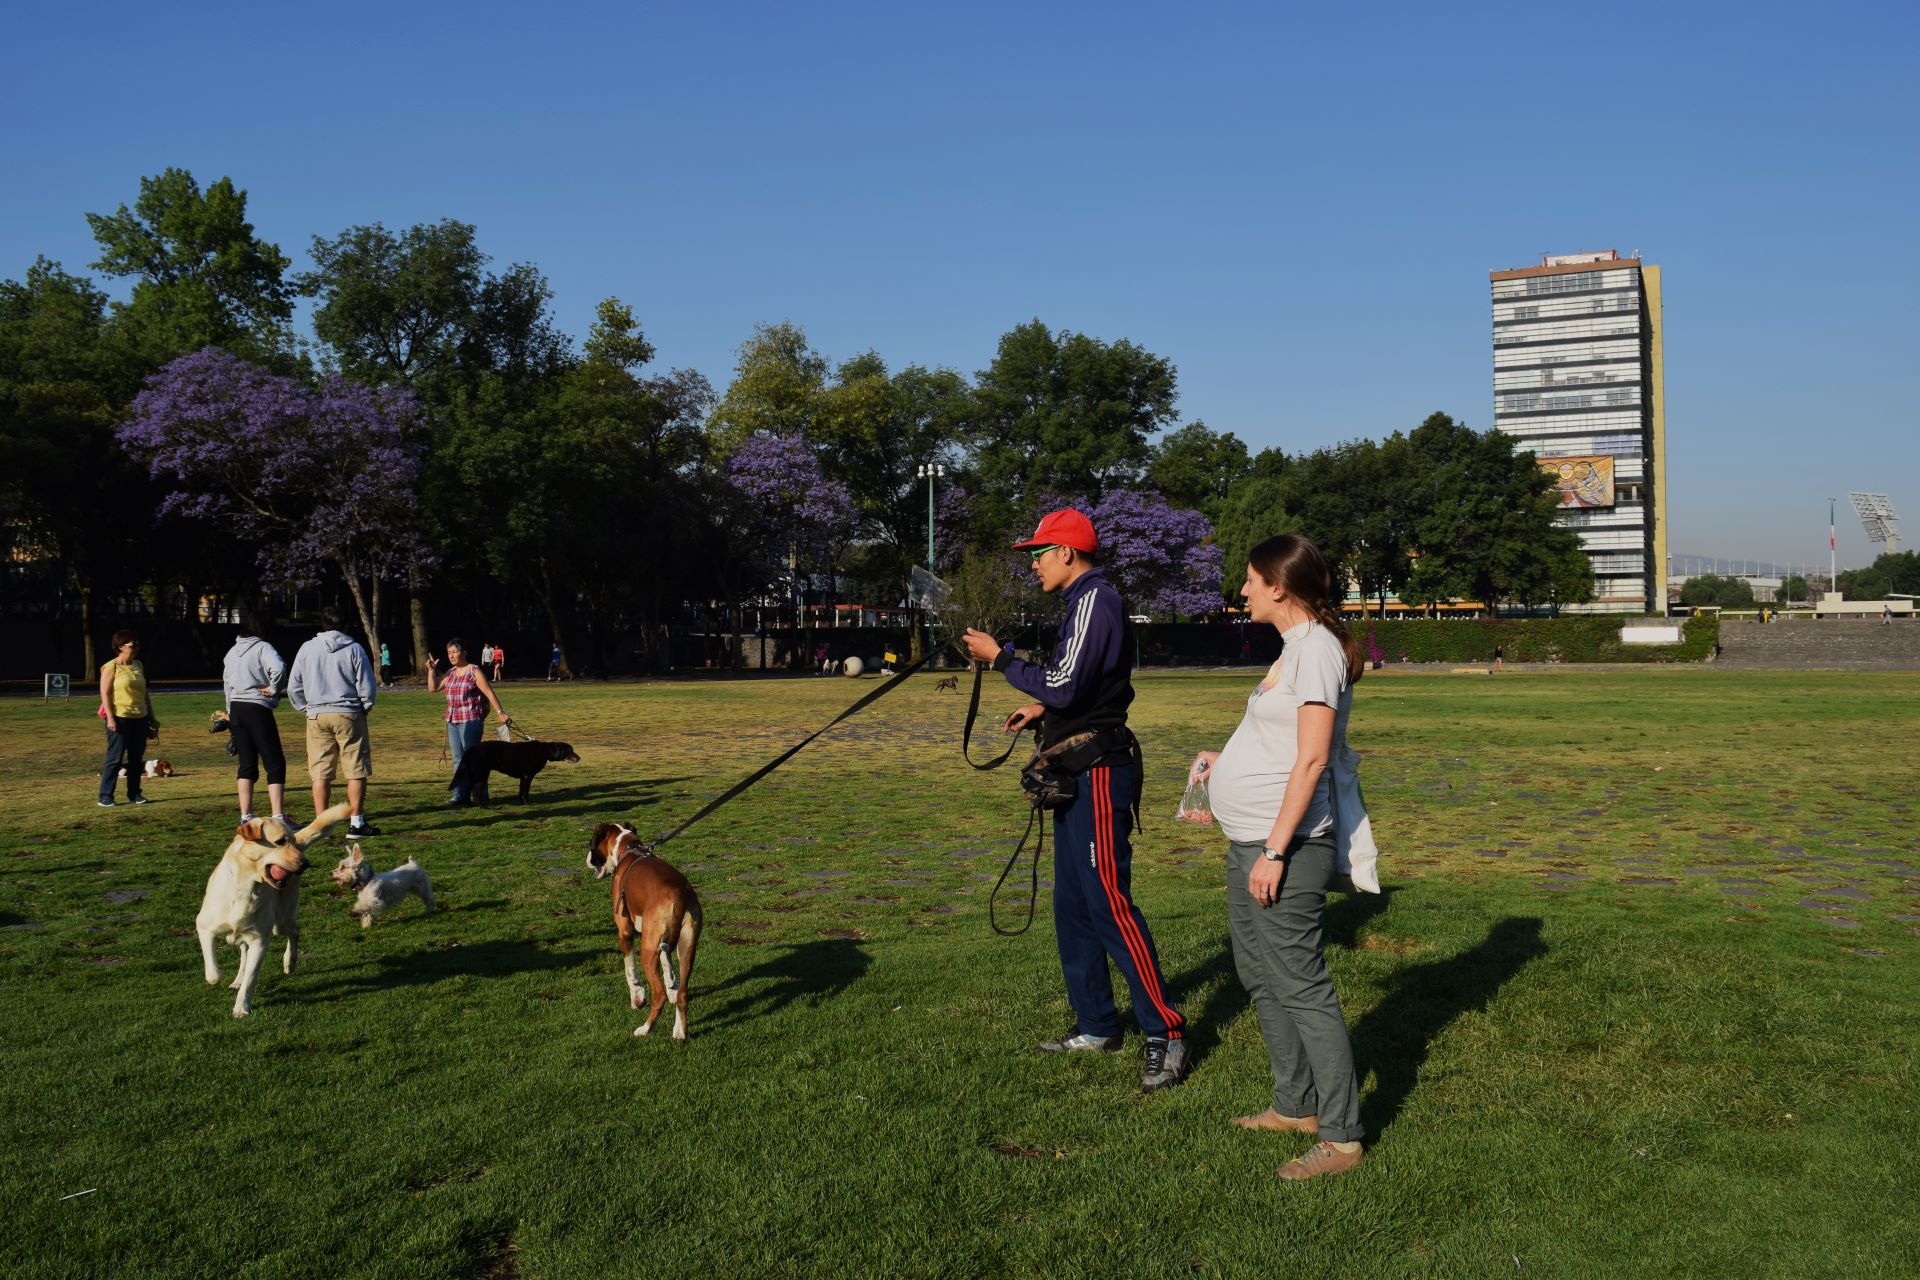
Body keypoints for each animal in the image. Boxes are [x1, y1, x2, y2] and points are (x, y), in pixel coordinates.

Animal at [194, 805, 353, 1013]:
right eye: (279, 842)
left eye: (291, 841)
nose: (305, 864)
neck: (246, 889)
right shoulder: (204, 928)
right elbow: (213, 974)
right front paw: (225, 979)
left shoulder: (260, 940)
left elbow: (251, 979)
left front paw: (241, 1008)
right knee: (244, 951)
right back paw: (237, 979)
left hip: (281, 921)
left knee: (295, 931)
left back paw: (289, 962)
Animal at [447, 736, 576, 805]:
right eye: (569, 750)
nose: (578, 757)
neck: (543, 751)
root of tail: (471, 749)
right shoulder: (528, 776)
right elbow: (525, 792)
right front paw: (527, 803)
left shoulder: (523, 777)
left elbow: (521, 792)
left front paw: (522, 803)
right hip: (481, 775)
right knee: (476, 793)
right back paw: (483, 806)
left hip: (472, 775)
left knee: (467, 790)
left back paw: (470, 804)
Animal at [587, 821, 710, 1043]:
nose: (588, 859)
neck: (628, 849)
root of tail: (680, 893)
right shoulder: (660, 941)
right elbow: (667, 962)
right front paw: (671, 982)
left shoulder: (625, 932)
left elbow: (629, 969)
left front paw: (637, 997)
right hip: (686, 947)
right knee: (683, 994)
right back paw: (680, 1031)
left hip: (646, 950)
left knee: (659, 995)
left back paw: (646, 1028)